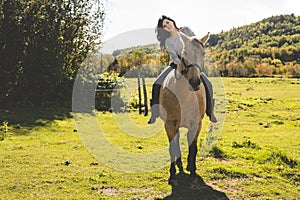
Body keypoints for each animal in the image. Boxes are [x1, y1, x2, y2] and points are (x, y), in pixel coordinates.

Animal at [159, 31, 209, 186]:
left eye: (203, 53)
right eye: (184, 53)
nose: (194, 82)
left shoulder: (196, 124)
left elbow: (193, 147)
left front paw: (192, 172)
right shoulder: (169, 124)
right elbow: (172, 147)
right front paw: (172, 175)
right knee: (176, 141)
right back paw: (179, 163)